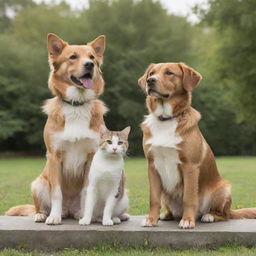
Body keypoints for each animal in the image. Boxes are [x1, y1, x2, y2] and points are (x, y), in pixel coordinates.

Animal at [5, 33, 107, 224]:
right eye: (73, 57)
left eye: (92, 57)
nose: (89, 65)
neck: (76, 105)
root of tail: (68, 210)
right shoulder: (54, 156)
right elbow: (56, 192)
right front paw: (54, 217)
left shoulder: (90, 157)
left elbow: (86, 191)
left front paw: (85, 216)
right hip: (38, 184)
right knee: (40, 205)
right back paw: (42, 214)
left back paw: (77, 213)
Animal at [139, 61, 256, 228]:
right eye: (151, 73)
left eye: (169, 73)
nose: (150, 81)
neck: (166, 119)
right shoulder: (152, 166)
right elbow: (153, 198)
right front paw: (151, 219)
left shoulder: (190, 166)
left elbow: (189, 197)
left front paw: (188, 220)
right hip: (166, 194)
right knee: (171, 211)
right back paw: (165, 215)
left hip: (223, 188)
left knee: (225, 215)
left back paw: (209, 216)